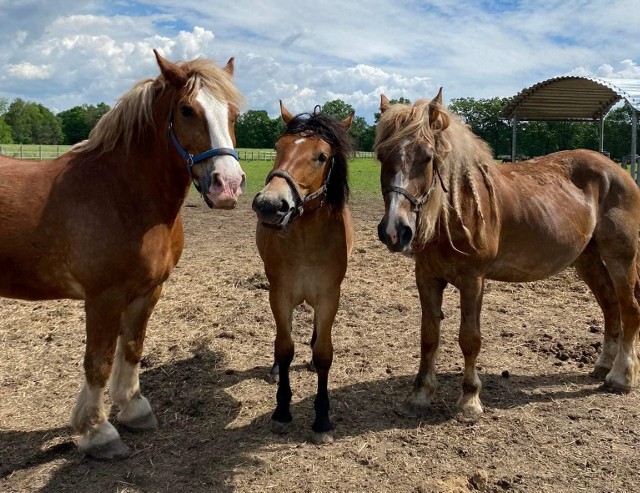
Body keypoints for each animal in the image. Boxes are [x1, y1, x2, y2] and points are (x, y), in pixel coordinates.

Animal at [0, 50, 245, 458]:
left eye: (234, 114)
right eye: (186, 110)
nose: (227, 186)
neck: (122, 194)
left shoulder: (148, 291)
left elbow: (131, 348)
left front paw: (133, 409)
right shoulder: (104, 297)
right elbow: (98, 362)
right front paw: (98, 432)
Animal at [252, 102, 356, 444]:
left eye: (321, 156)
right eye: (278, 147)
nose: (270, 204)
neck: (306, 242)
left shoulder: (328, 296)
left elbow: (324, 354)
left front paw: (322, 419)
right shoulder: (280, 294)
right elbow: (284, 348)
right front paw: (282, 411)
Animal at [372, 87, 640, 416]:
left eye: (427, 157)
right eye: (382, 156)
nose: (394, 231)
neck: (456, 210)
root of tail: (618, 172)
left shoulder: (473, 280)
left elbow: (469, 338)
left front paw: (469, 399)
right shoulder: (427, 277)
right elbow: (429, 336)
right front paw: (421, 394)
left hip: (620, 257)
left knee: (629, 308)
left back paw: (620, 377)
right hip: (586, 260)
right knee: (610, 306)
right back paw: (603, 366)